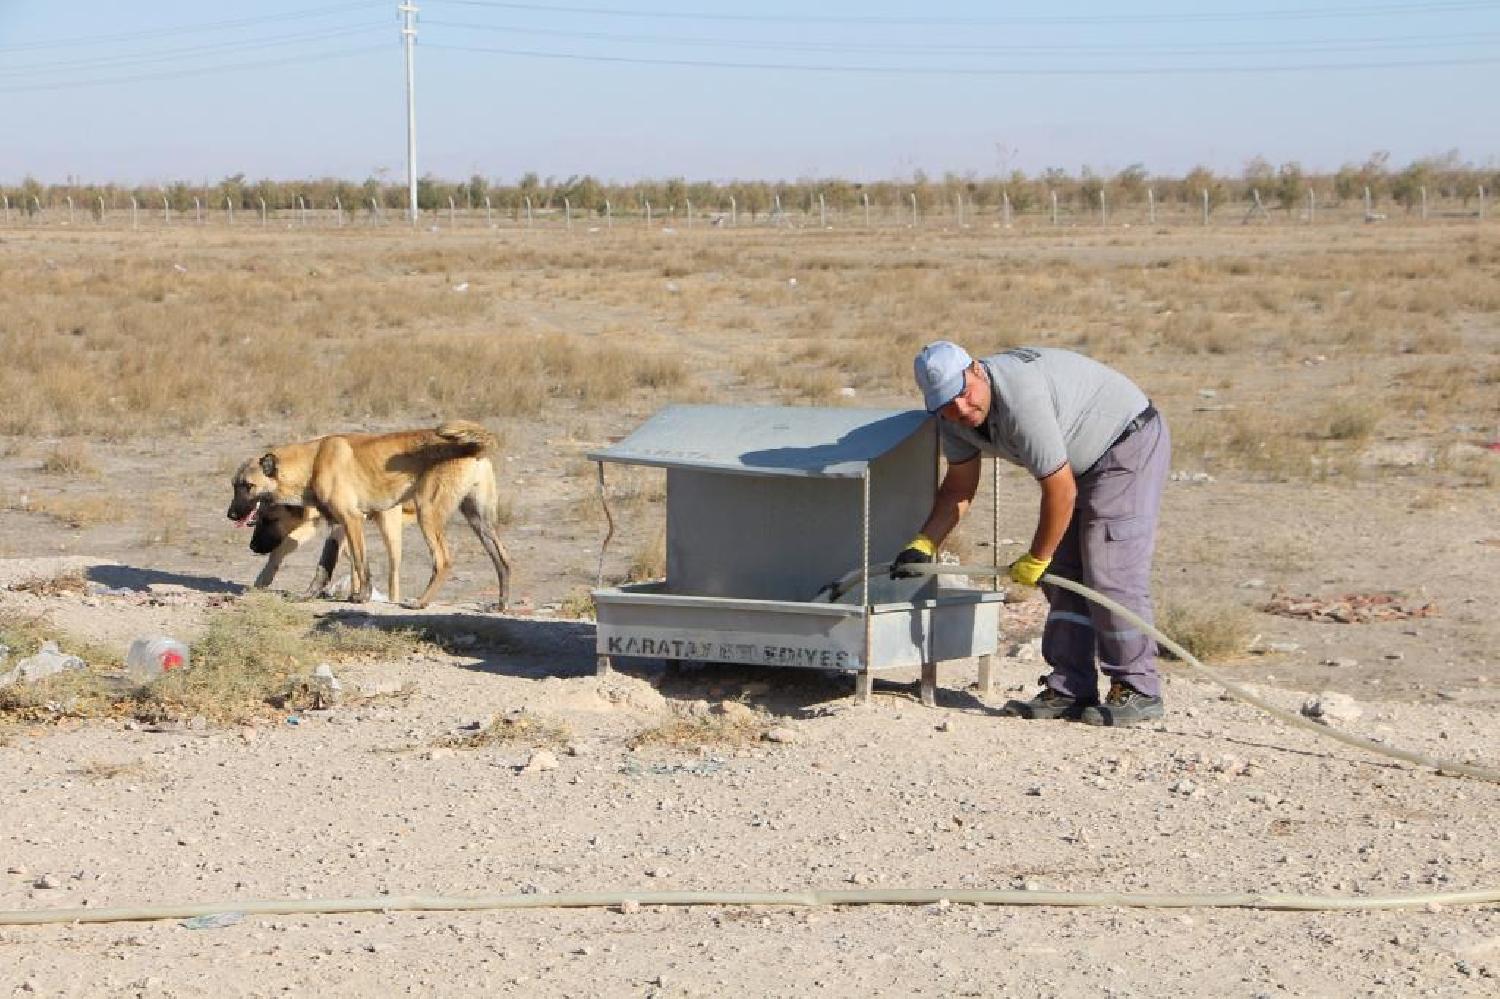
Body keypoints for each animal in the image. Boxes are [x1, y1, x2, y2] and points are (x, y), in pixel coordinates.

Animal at [227, 422, 511, 609]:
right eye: (234, 484)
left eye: (247, 486)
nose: (230, 514)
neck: (313, 462)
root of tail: (473, 447)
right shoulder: (338, 527)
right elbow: (323, 568)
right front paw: (308, 596)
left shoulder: (352, 520)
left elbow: (361, 565)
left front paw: (361, 597)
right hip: (479, 521)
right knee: (503, 561)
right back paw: (501, 604)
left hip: (424, 516)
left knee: (442, 561)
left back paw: (420, 603)